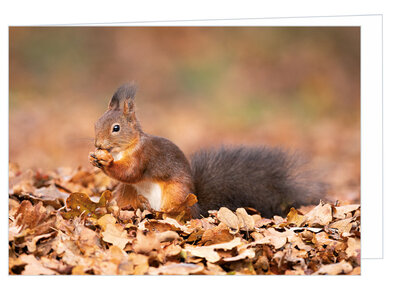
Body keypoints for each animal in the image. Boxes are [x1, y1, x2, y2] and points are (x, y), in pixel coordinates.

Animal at [88, 82, 324, 220]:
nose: (98, 145)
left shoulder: (143, 157)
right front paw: (95, 159)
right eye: (96, 122)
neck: (123, 150)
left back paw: (159, 211)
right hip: (127, 192)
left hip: (175, 193)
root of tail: (197, 207)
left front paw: (106, 163)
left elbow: (130, 172)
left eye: (116, 128)